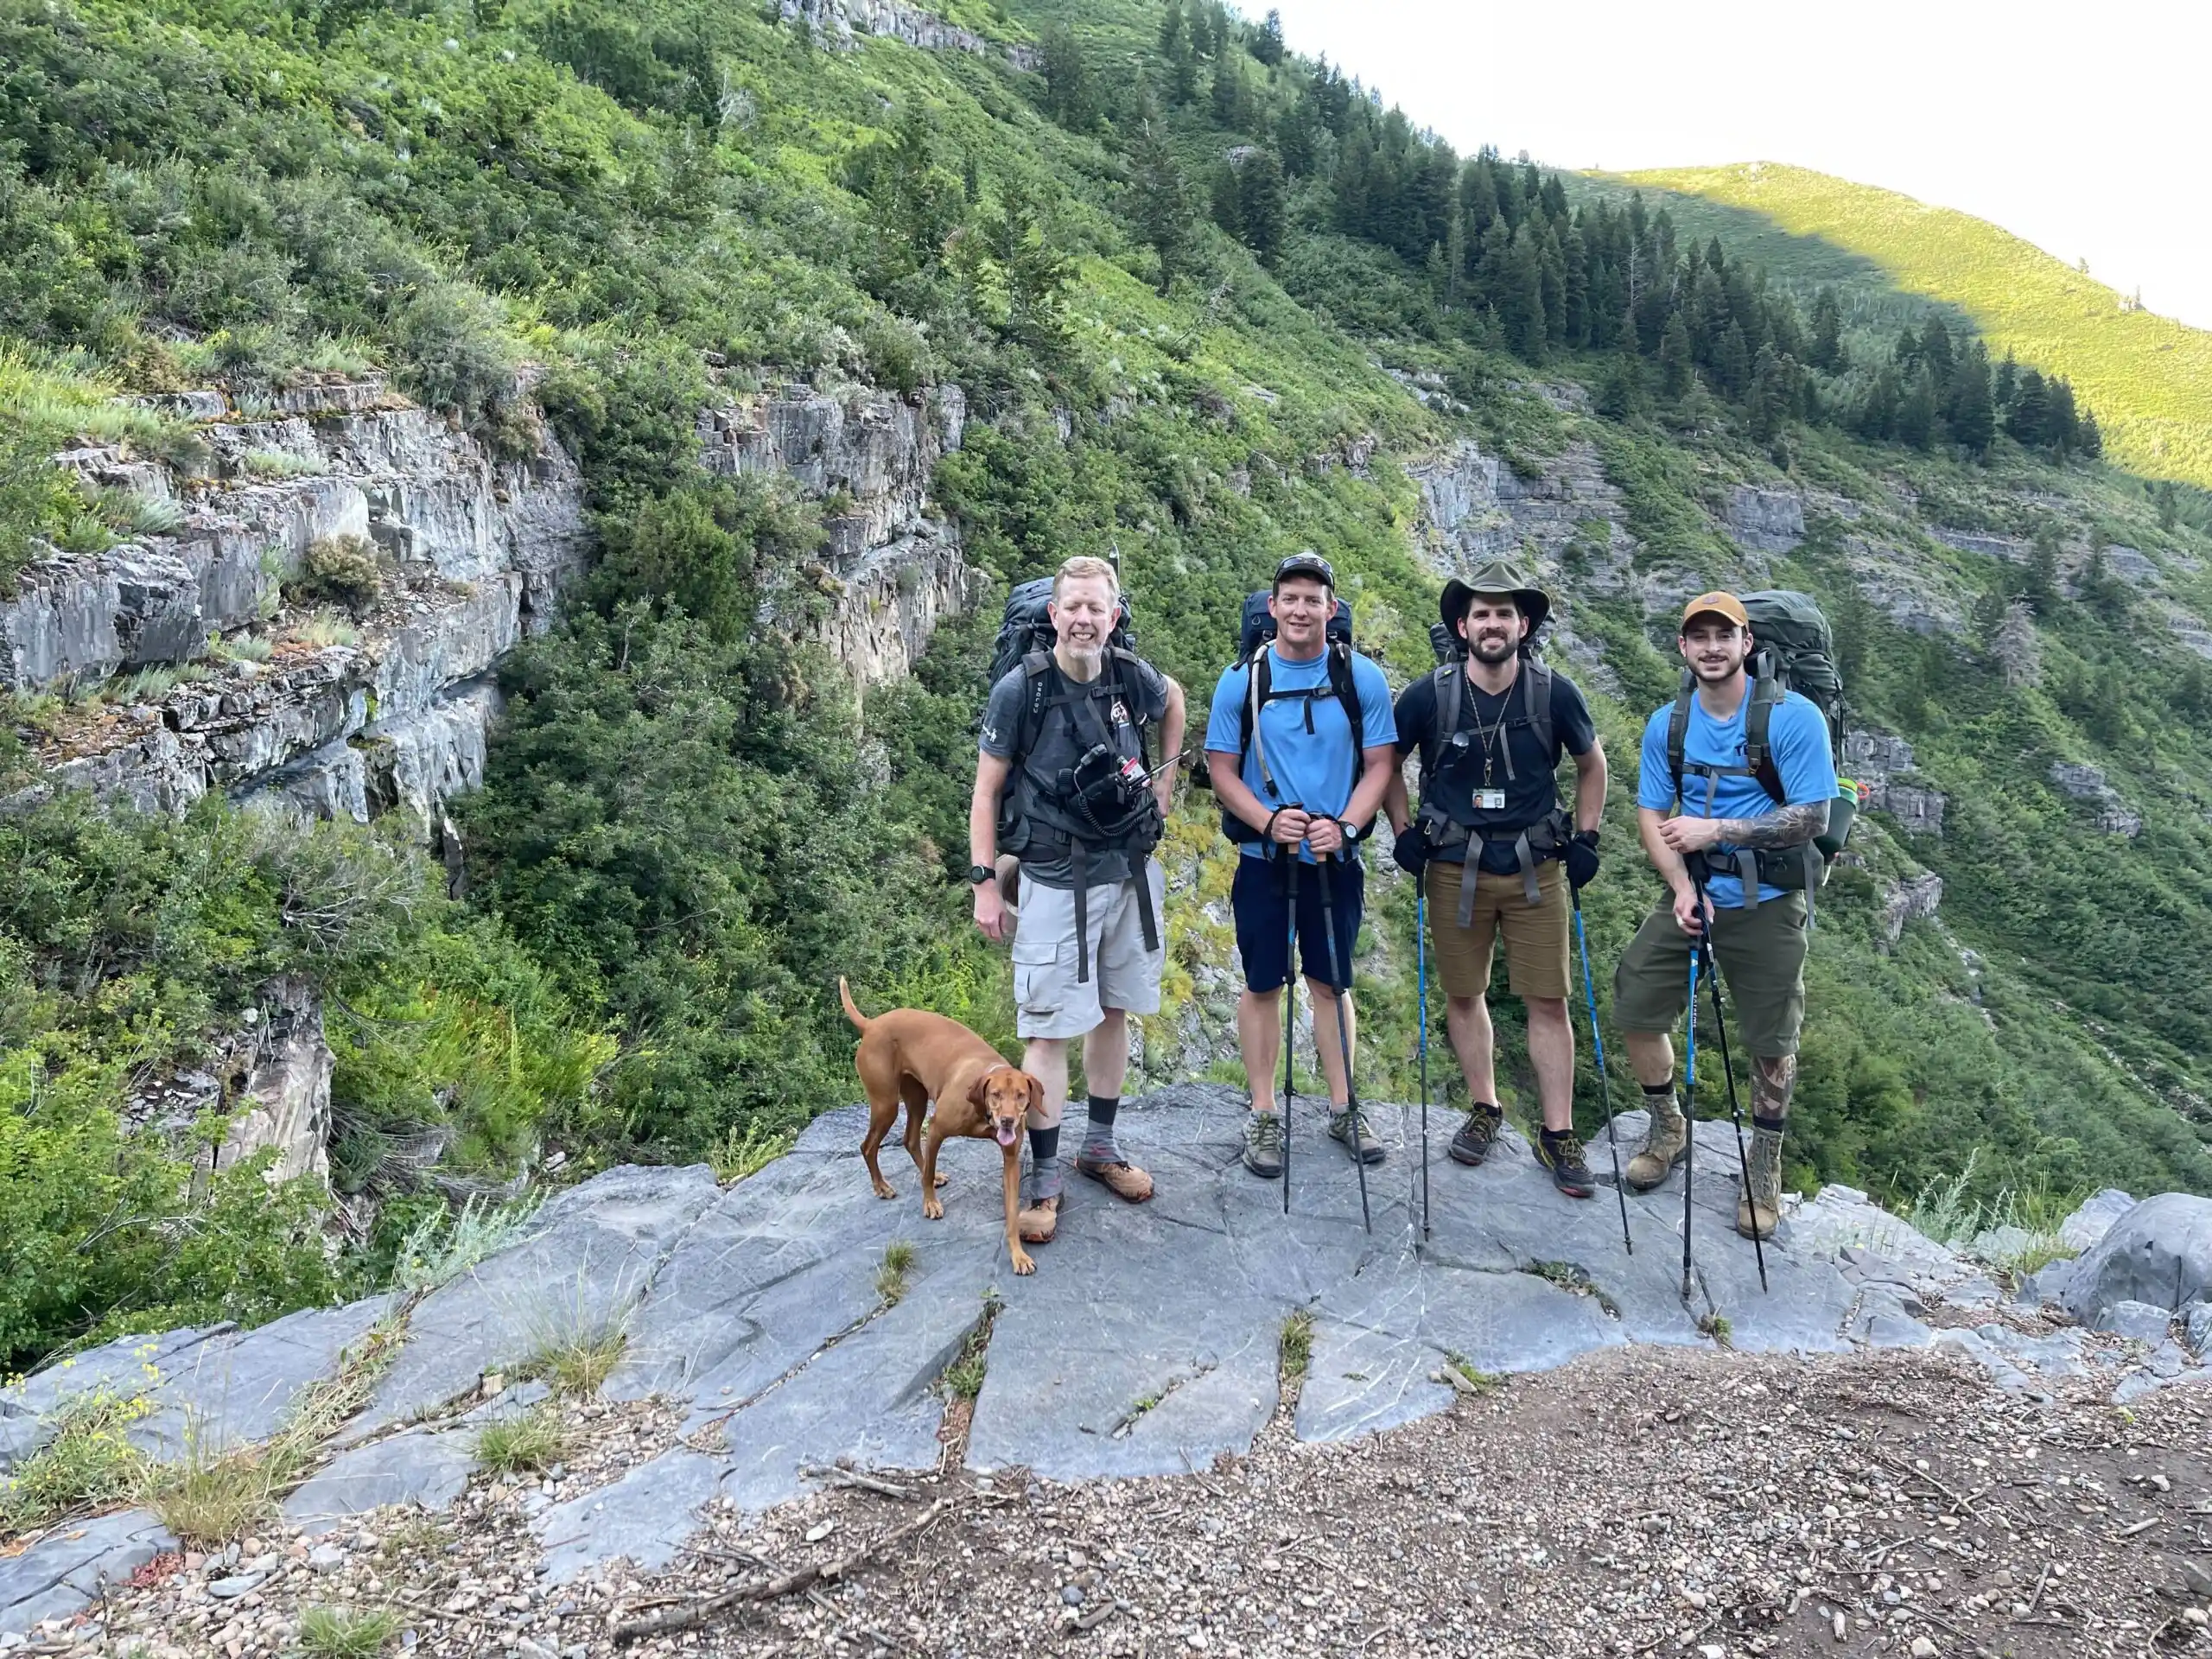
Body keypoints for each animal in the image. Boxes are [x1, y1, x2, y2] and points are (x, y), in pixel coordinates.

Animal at [836, 982, 1044, 1282]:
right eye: (995, 1094)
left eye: (1020, 1095)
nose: (1007, 1121)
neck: (982, 1110)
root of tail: (872, 1024)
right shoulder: (936, 1129)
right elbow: (925, 1174)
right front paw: (930, 1204)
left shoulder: (1011, 1160)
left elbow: (1013, 1213)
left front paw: (1018, 1255)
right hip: (886, 1104)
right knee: (869, 1146)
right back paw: (882, 1187)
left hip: (916, 1098)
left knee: (910, 1139)